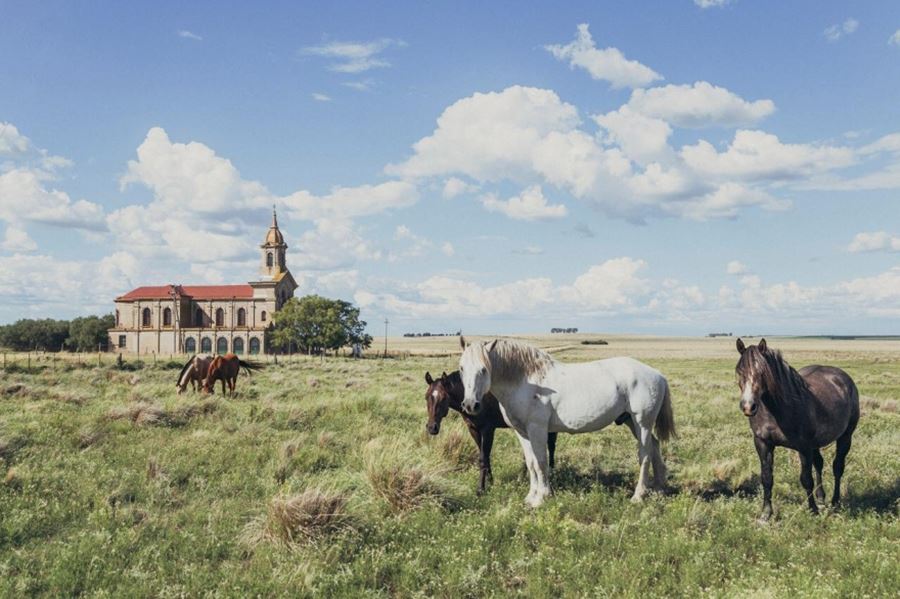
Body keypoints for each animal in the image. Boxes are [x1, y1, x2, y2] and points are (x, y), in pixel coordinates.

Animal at [424, 372, 556, 494]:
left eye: (444, 398)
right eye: (426, 397)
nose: (432, 427)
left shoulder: (488, 430)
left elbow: (483, 458)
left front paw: (481, 489)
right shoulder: (473, 430)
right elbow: (485, 457)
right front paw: (490, 482)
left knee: (551, 446)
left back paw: (550, 473)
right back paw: (522, 477)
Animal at [458, 338, 676, 506]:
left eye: (484, 369)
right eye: (461, 369)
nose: (470, 405)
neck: (526, 381)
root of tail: (657, 374)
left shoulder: (537, 429)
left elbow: (541, 462)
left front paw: (541, 498)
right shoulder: (522, 433)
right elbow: (531, 463)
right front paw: (530, 497)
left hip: (642, 423)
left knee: (645, 455)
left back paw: (638, 496)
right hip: (632, 422)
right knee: (655, 448)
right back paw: (659, 489)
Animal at [736, 340, 860, 524]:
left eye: (762, 372)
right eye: (739, 371)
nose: (748, 406)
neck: (776, 410)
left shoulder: (803, 447)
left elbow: (806, 479)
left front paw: (812, 510)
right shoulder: (763, 443)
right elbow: (767, 478)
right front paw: (766, 513)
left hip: (845, 437)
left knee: (837, 467)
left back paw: (835, 502)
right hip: (816, 444)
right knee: (819, 464)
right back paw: (821, 498)